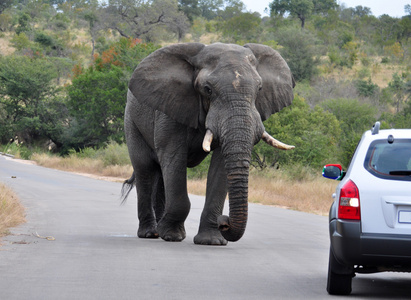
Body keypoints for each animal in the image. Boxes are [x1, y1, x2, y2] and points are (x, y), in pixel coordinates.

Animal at [122, 42, 296, 245]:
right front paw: (173, 236)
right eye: (208, 89)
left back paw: (159, 228)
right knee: (145, 169)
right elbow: (173, 157)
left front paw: (212, 241)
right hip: (131, 121)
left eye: (260, 89)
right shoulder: (170, 108)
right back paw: (151, 233)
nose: (225, 223)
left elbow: (220, 166)